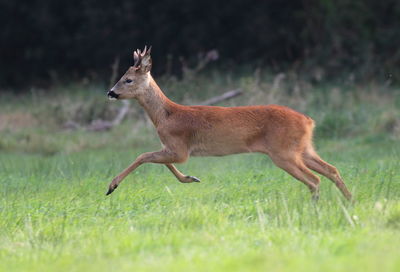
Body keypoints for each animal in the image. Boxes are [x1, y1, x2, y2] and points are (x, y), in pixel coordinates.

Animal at [106, 45, 354, 201]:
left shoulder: (180, 148)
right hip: (303, 148)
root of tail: (309, 121)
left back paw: (317, 206)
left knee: (314, 179)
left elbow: (143, 156)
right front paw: (190, 178)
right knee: (331, 170)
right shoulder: (173, 148)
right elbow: (158, 161)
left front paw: (112, 186)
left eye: (128, 80)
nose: (110, 92)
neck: (166, 115)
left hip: (283, 152)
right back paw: (350, 201)